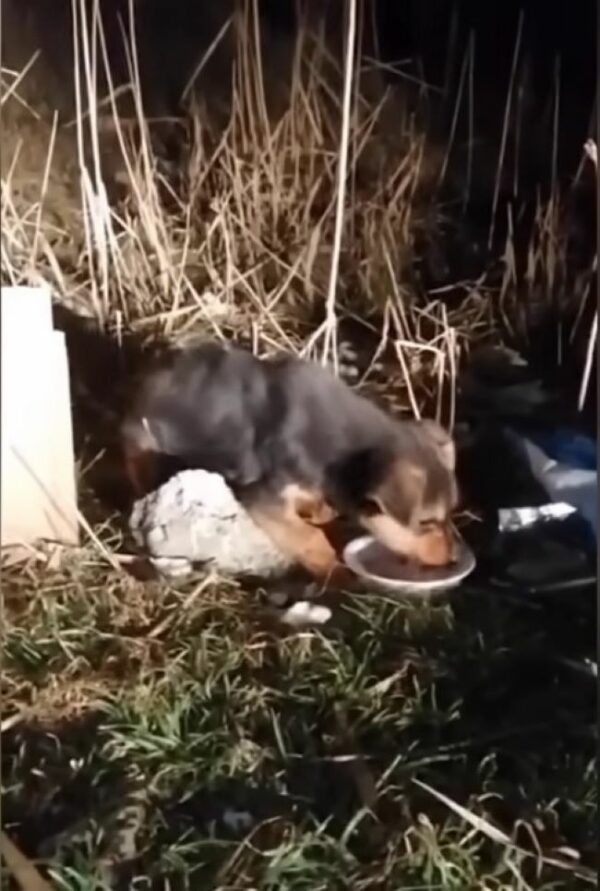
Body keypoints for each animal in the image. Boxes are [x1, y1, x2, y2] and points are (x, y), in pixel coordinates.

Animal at [123, 342, 460, 584]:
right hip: (146, 433)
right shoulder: (262, 495)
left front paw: (317, 511)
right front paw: (336, 574)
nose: (452, 558)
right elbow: (310, 537)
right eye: (425, 523)